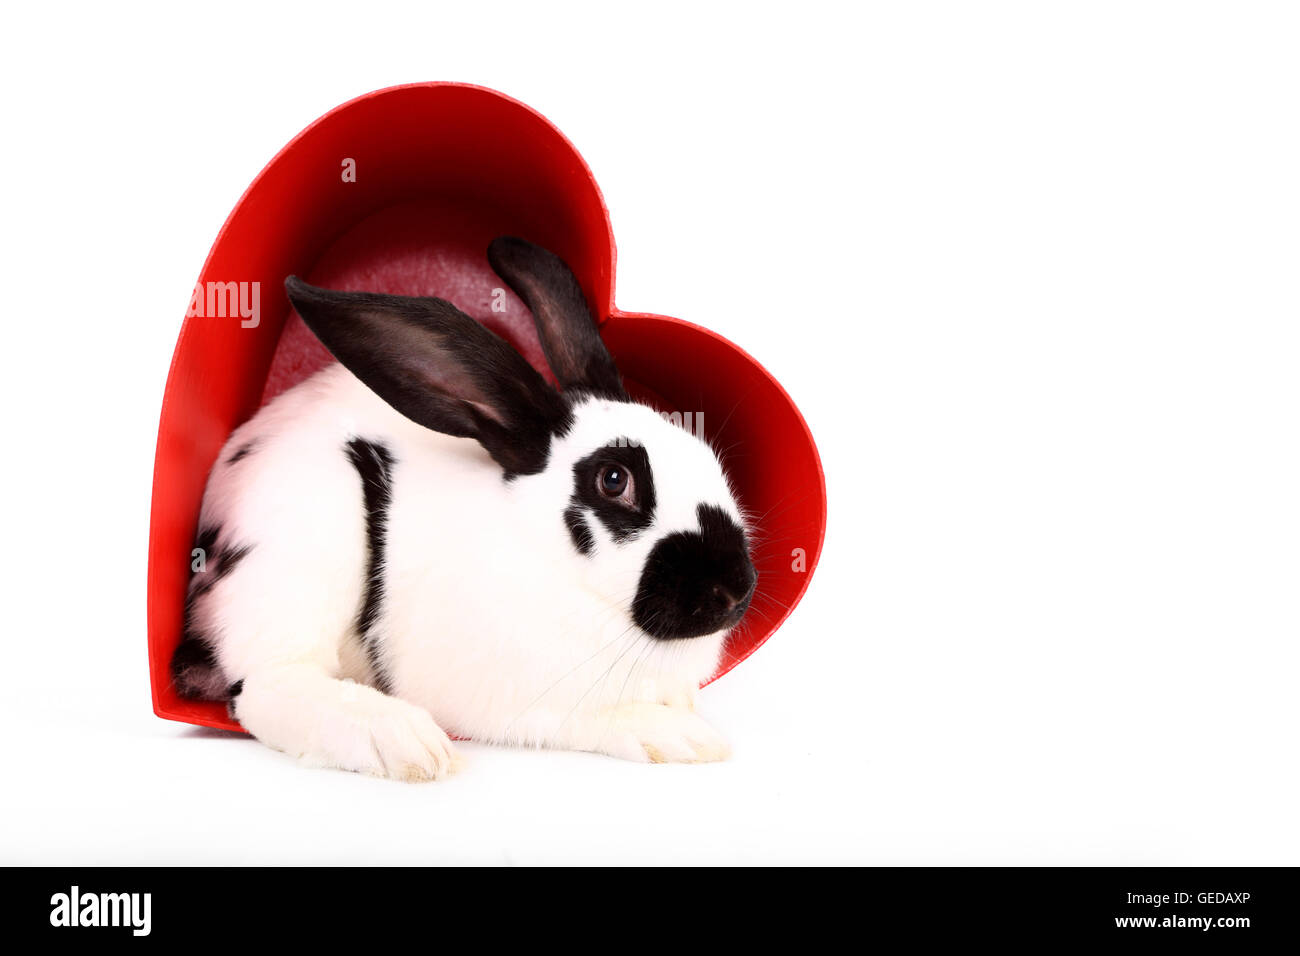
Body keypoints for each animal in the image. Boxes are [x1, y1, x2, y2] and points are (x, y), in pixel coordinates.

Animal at [169, 236, 757, 780]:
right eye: (614, 480)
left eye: (704, 453)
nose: (734, 591)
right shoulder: (515, 703)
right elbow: (590, 718)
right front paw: (685, 736)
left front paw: (685, 708)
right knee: (266, 686)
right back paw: (404, 741)